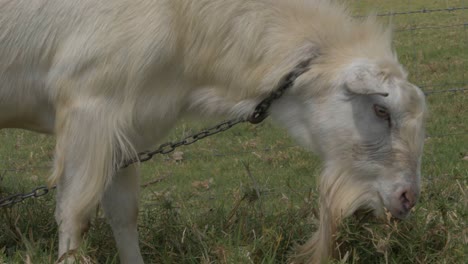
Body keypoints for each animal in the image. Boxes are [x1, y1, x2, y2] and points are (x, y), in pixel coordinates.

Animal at [0, 0, 426, 262]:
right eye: (380, 109)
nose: (408, 197)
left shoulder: (125, 129)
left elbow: (124, 215)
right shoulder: (88, 111)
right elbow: (75, 214)